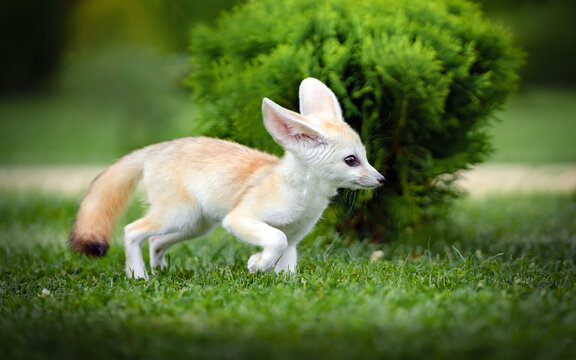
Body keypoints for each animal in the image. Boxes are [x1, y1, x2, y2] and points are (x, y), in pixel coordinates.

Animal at [70, 78, 384, 278]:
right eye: (351, 160)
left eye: (365, 156)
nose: (381, 180)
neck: (303, 196)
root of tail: (154, 149)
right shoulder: (239, 218)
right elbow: (276, 239)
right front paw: (258, 264)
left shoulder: (295, 238)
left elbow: (287, 262)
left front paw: (278, 281)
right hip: (179, 216)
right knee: (132, 231)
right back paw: (138, 276)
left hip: (195, 225)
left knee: (155, 241)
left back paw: (157, 272)